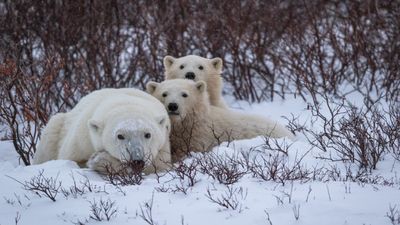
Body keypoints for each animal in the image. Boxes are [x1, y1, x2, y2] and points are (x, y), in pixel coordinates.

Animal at [33, 88, 172, 174]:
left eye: (148, 134)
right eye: (120, 136)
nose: (137, 160)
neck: (124, 101)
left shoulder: (164, 144)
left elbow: (159, 165)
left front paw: (99, 160)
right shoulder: (82, 140)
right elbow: (74, 161)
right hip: (57, 127)